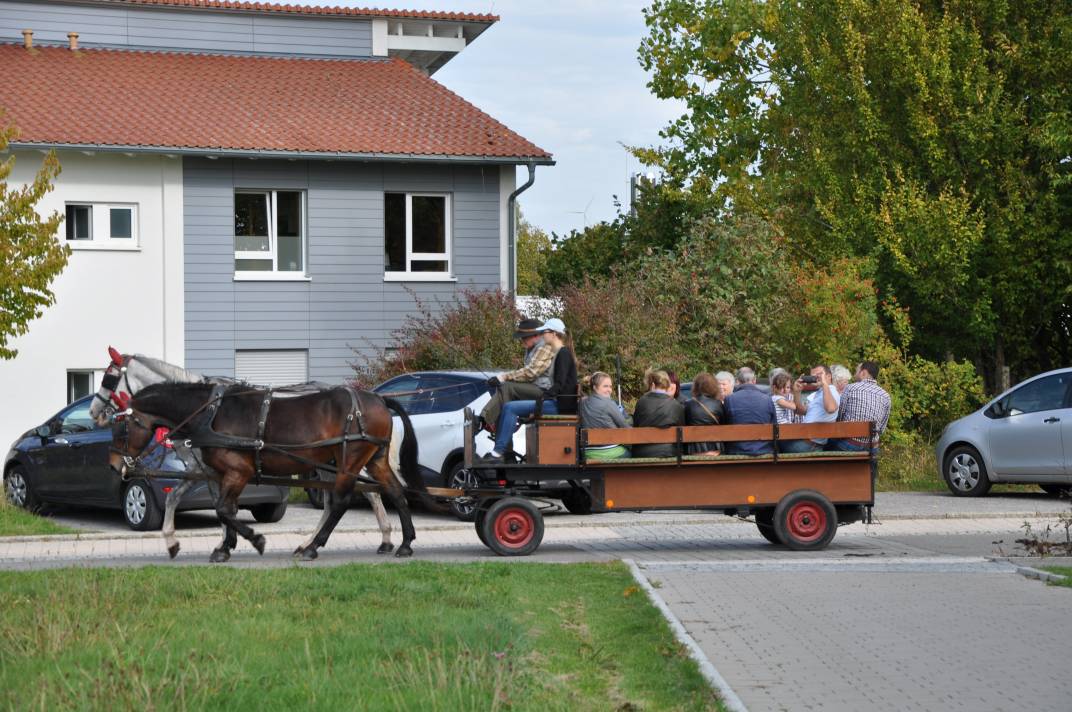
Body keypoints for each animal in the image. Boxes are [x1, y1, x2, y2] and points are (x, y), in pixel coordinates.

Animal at [90, 348, 403, 558]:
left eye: (108, 378)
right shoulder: (205, 470)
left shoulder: (218, 470)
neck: (204, 412)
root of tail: (373, 398)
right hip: (330, 464)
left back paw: (377, 540)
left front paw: (229, 544)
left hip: (342, 461)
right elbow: (183, 501)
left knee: (359, 496)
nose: (94, 413)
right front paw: (179, 541)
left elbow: (221, 509)